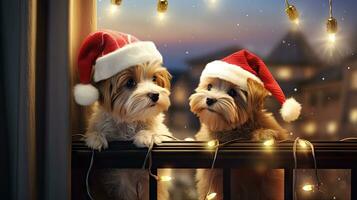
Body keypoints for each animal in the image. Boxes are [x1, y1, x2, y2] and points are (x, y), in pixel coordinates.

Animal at [73, 30, 170, 200]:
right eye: (130, 82)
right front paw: (95, 137)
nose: (155, 95)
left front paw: (146, 135)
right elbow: (96, 130)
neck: (129, 121)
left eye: (154, 78)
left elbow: (157, 131)